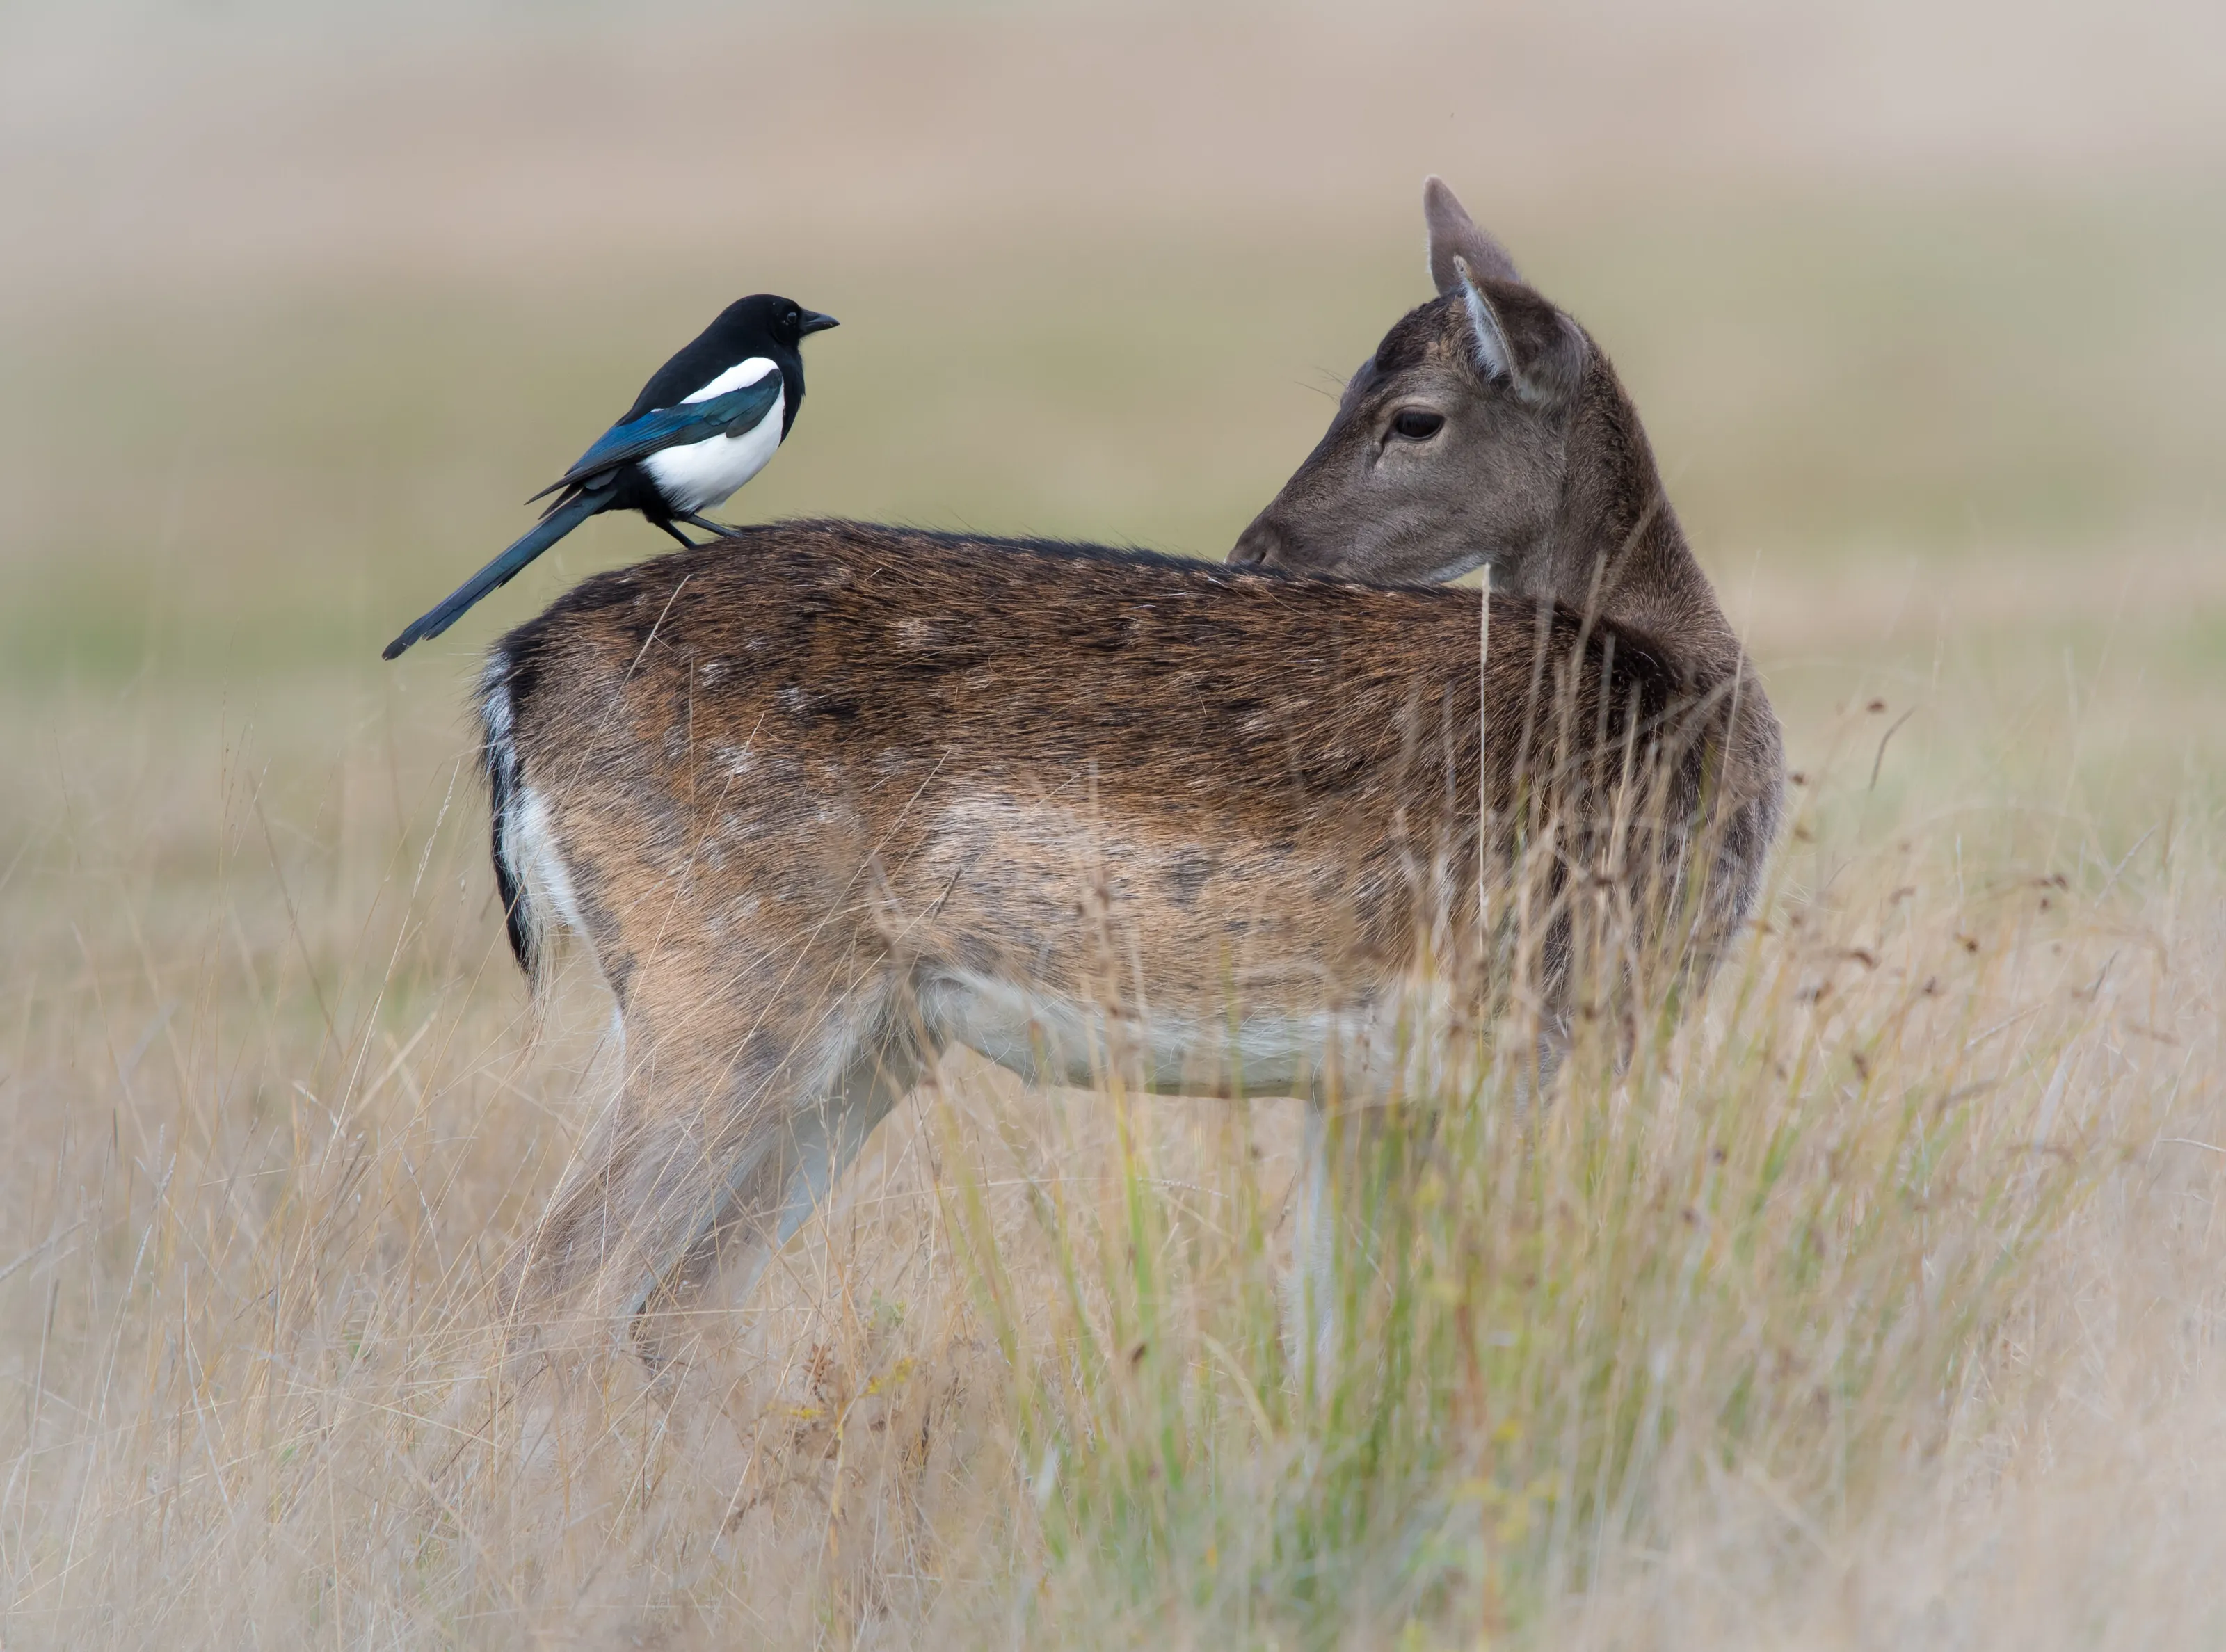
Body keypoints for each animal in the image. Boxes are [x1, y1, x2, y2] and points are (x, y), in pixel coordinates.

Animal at [477, 178, 1784, 1362]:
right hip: (721, 979)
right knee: (563, 1284)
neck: (1678, 683)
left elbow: (1340, 1324)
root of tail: (514, 675)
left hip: (867, 1036)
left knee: (684, 1302)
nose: (1259, 550)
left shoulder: (1375, 1080)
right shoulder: (1537, 1021)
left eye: (1410, 415)